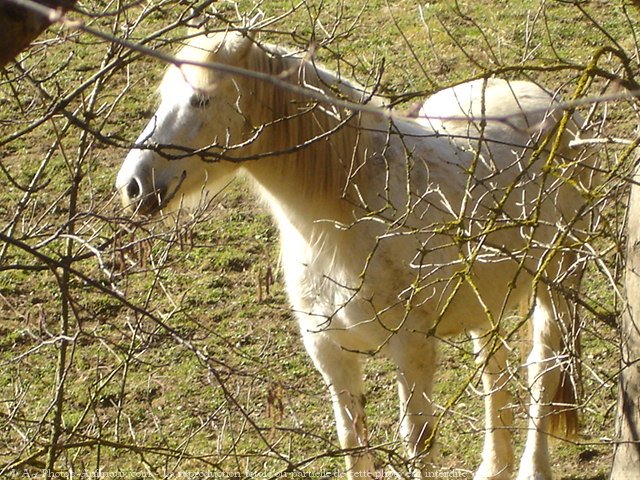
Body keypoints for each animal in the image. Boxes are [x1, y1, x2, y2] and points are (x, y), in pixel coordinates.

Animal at [114, 28, 596, 478]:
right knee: (494, 371)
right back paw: (494, 467)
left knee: (543, 370)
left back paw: (534, 467)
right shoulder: (330, 351)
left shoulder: (412, 348)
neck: (344, 217)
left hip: (558, 283)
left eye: (200, 99)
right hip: (487, 300)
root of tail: (550, 103)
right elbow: (352, 440)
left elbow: (418, 440)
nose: (132, 186)